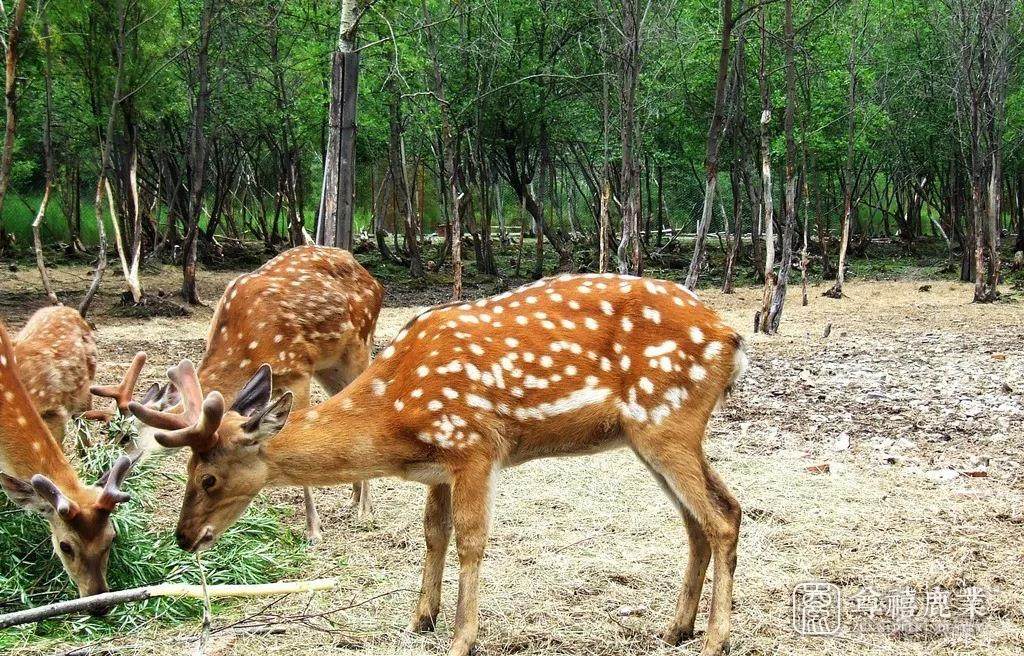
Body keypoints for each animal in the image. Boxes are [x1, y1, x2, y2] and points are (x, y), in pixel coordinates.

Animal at [94, 243, 382, 540]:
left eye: (126, 437)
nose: (103, 479)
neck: (246, 349)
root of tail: (370, 277)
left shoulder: (298, 370)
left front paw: (313, 530)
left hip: (360, 344)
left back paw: (365, 510)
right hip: (329, 366)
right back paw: (353, 498)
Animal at [134, 272, 745, 654]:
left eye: (208, 477)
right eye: (188, 471)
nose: (184, 537)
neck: (395, 416)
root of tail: (732, 338)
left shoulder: (474, 444)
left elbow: (472, 539)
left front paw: (461, 636)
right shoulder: (438, 466)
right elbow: (434, 532)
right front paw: (420, 617)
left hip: (668, 422)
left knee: (719, 517)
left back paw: (715, 639)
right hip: (653, 436)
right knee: (712, 514)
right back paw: (676, 629)